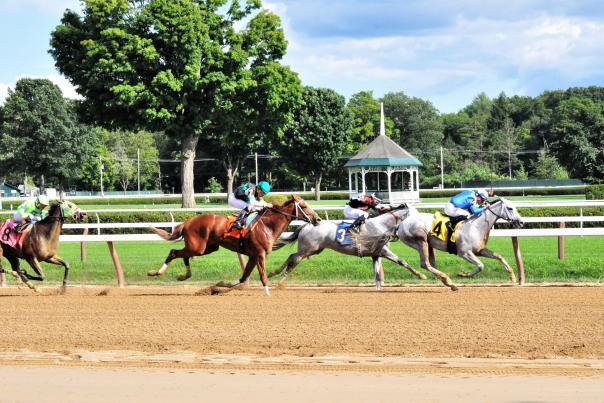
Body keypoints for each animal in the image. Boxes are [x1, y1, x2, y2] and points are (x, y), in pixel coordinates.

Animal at [147, 196, 320, 296]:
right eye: (304, 206)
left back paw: (184, 275)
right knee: (174, 252)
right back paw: (156, 272)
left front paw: (219, 287)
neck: (267, 226)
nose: (318, 219)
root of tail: (188, 222)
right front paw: (267, 293)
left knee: (184, 255)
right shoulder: (259, 254)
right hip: (198, 246)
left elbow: (243, 278)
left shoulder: (253, 256)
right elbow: (262, 275)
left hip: (207, 248)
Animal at [266, 205, 446, 290]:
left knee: (291, 257)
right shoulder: (383, 250)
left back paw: (272, 274)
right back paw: (279, 281)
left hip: (314, 249)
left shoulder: (376, 253)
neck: (382, 225)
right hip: (307, 249)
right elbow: (402, 261)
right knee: (293, 260)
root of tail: (307, 224)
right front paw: (422, 275)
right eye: (415, 214)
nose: (427, 225)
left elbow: (379, 273)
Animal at [396, 198, 524, 286]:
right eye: (510, 208)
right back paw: (447, 280)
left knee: (430, 263)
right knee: (425, 264)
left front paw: (512, 277)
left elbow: (499, 256)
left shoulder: (479, 250)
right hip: (420, 241)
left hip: (428, 244)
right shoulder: (464, 252)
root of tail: (404, 222)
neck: (475, 226)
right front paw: (463, 274)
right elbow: (481, 265)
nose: (521, 222)